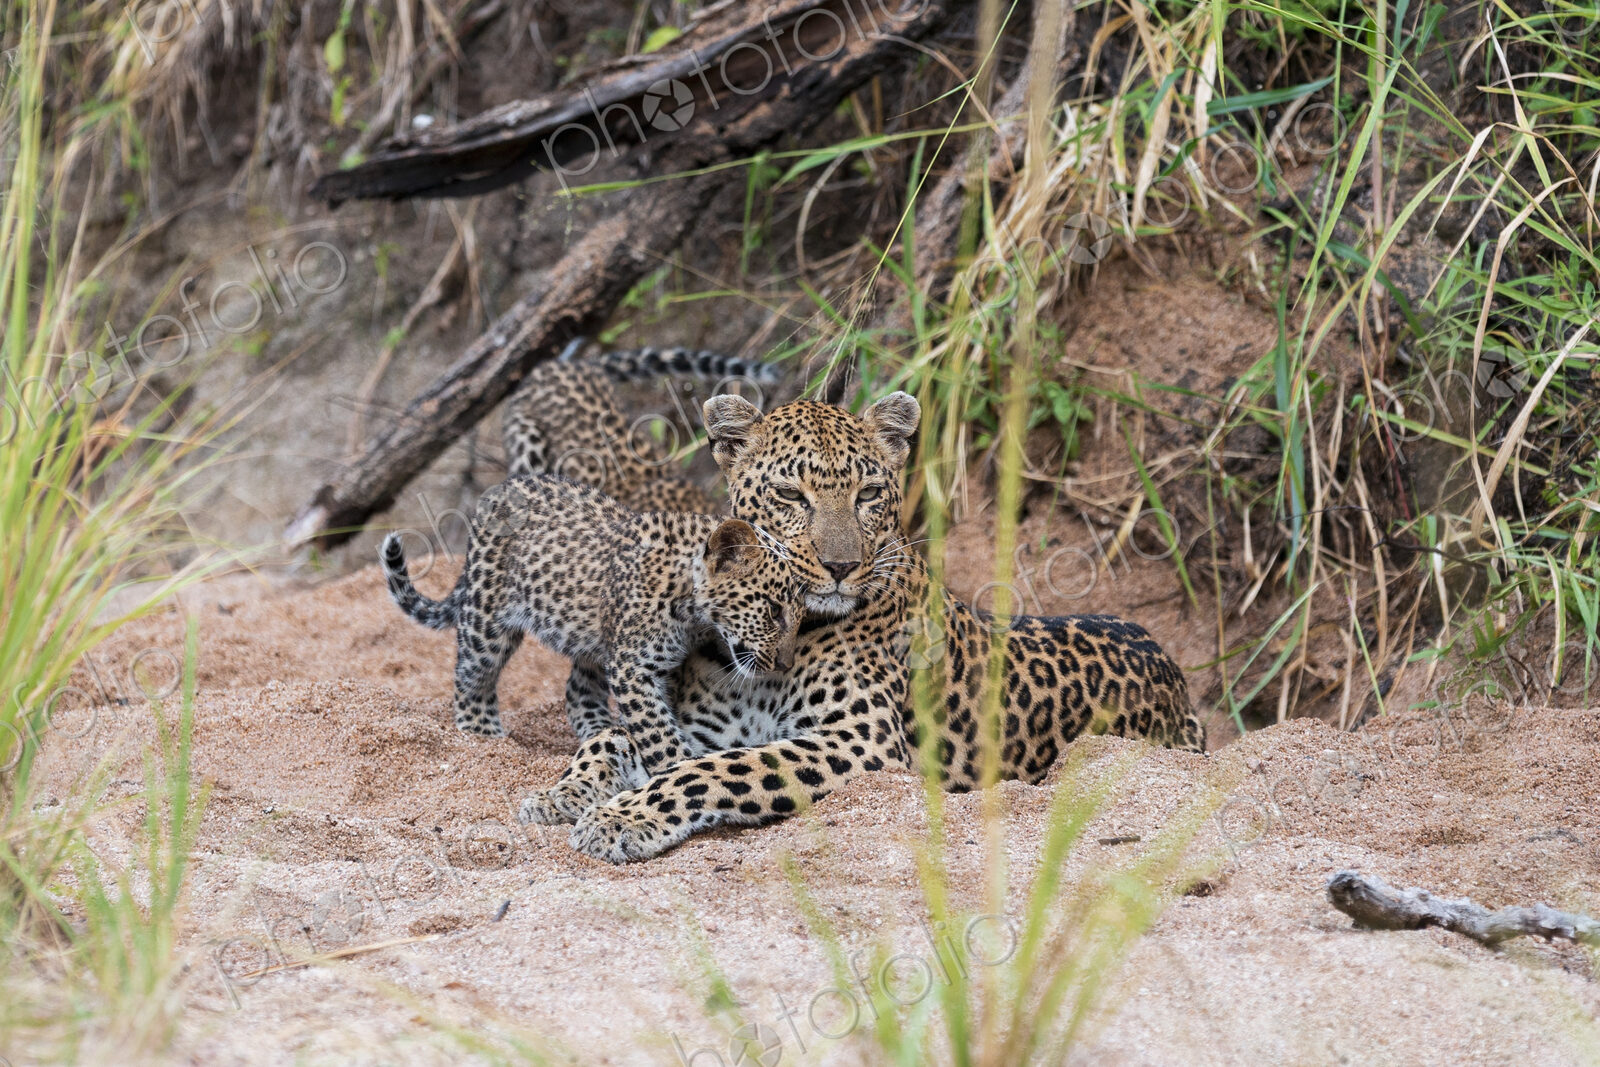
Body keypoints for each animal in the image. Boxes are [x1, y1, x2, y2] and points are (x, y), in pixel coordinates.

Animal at [379, 475, 805, 791]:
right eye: (773, 610)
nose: (785, 664)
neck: (689, 605)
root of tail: (497, 491)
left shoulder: (659, 665)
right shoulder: (634, 667)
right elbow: (658, 733)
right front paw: (680, 768)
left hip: (593, 643)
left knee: (577, 691)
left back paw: (597, 730)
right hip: (488, 618)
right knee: (471, 676)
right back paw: (483, 735)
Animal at [520, 392, 1207, 862]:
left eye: (869, 493)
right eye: (791, 495)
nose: (842, 566)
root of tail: (1165, 659)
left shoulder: (862, 742)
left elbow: (719, 769)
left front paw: (620, 819)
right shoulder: (693, 728)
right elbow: (610, 739)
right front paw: (560, 796)